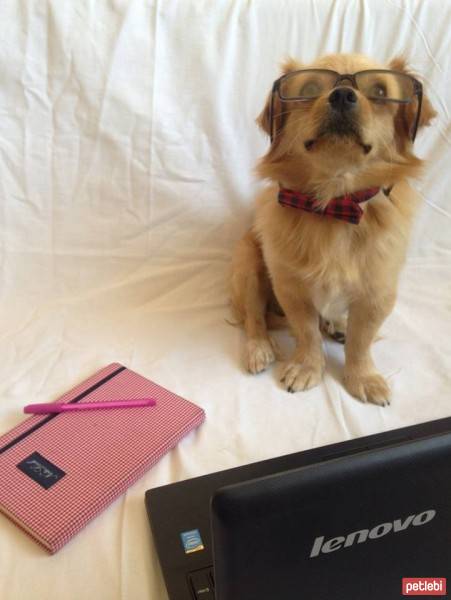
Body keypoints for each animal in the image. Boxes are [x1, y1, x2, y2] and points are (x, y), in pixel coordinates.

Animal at [231, 52, 436, 408]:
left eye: (379, 92)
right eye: (310, 89)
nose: (342, 95)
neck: (335, 204)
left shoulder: (377, 294)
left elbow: (361, 342)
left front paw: (362, 377)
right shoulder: (291, 289)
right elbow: (308, 333)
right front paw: (307, 368)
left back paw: (338, 324)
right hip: (247, 265)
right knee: (253, 318)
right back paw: (259, 348)